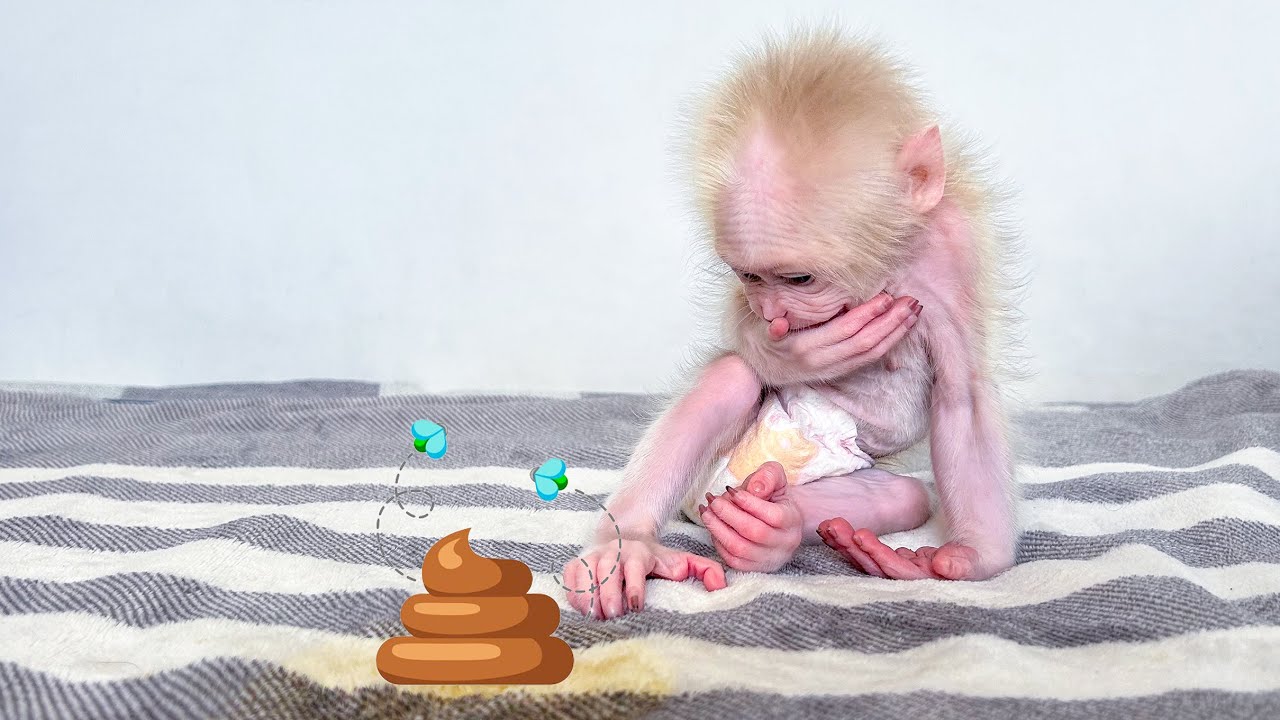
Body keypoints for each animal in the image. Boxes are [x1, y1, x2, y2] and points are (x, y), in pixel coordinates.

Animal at [565, 27, 1024, 619]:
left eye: (800, 279)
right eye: (749, 276)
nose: (772, 314)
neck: (882, 270)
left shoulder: (954, 243)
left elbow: (963, 392)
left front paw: (973, 555)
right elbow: (740, 332)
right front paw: (782, 349)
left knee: (904, 495)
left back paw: (771, 528)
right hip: (704, 478)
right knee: (729, 378)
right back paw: (627, 545)